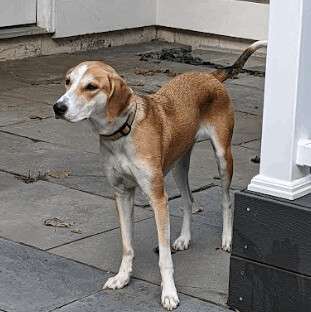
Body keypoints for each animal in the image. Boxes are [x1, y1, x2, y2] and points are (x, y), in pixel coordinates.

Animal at [53, 40, 268, 310]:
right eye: (67, 81)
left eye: (91, 86)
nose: (58, 107)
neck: (122, 134)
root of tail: (209, 76)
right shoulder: (122, 194)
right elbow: (127, 245)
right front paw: (123, 277)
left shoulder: (157, 198)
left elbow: (164, 257)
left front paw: (169, 293)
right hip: (179, 166)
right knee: (188, 201)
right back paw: (184, 238)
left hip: (222, 157)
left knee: (226, 200)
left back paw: (227, 239)